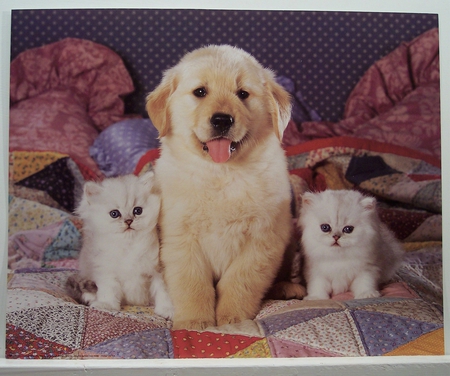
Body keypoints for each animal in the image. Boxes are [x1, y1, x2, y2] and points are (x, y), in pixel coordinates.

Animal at [73, 172, 173, 318]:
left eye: (137, 211)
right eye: (114, 214)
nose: (129, 221)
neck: (128, 245)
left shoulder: (157, 271)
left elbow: (163, 292)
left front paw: (167, 310)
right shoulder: (106, 271)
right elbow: (108, 290)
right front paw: (106, 305)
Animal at [148, 45, 302, 330]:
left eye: (242, 94)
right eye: (200, 92)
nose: (222, 120)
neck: (222, 173)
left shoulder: (263, 238)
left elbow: (240, 281)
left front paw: (233, 318)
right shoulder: (181, 237)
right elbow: (192, 283)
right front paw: (195, 321)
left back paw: (287, 287)